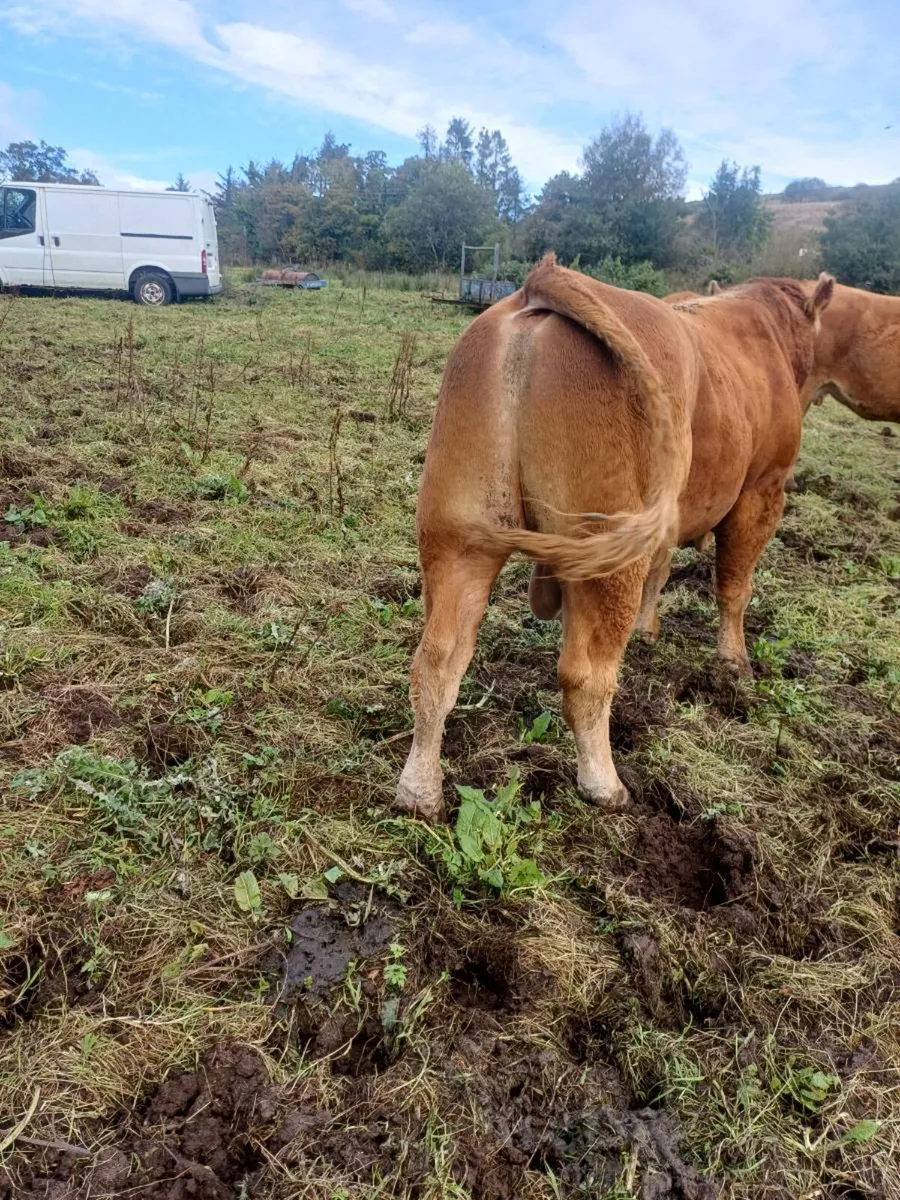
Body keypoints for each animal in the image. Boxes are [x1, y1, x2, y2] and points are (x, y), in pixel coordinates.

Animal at [396, 255, 834, 822]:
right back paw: (604, 784)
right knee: (585, 676)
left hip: (460, 536)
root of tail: (539, 287)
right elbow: (735, 588)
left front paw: (650, 630)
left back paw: (419, 791)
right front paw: (734, 663)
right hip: (607, 549)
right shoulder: (763, 491)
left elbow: (662, 574)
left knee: (438, 661)